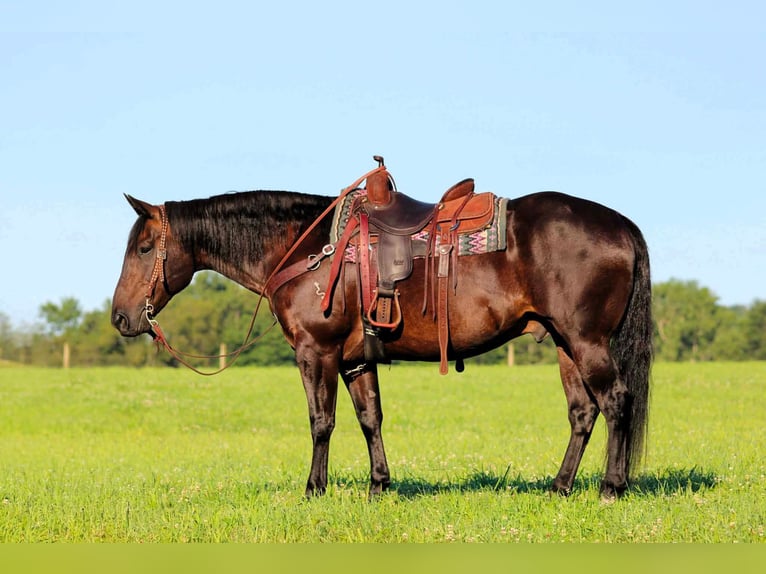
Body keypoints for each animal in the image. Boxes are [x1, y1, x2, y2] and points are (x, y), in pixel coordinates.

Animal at [111, 165, 652, 500]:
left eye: (144, 248)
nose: (120, 318)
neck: (306, 245)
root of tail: (622, 226)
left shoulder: (316, 352)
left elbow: (321, 421)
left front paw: (314, 489)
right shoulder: (356, 359)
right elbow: (370, 418)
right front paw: (378, 484)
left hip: (586, 341)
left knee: (615, 402)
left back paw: (611, 488)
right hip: (564, 344)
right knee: (582, 413)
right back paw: (560, 487)